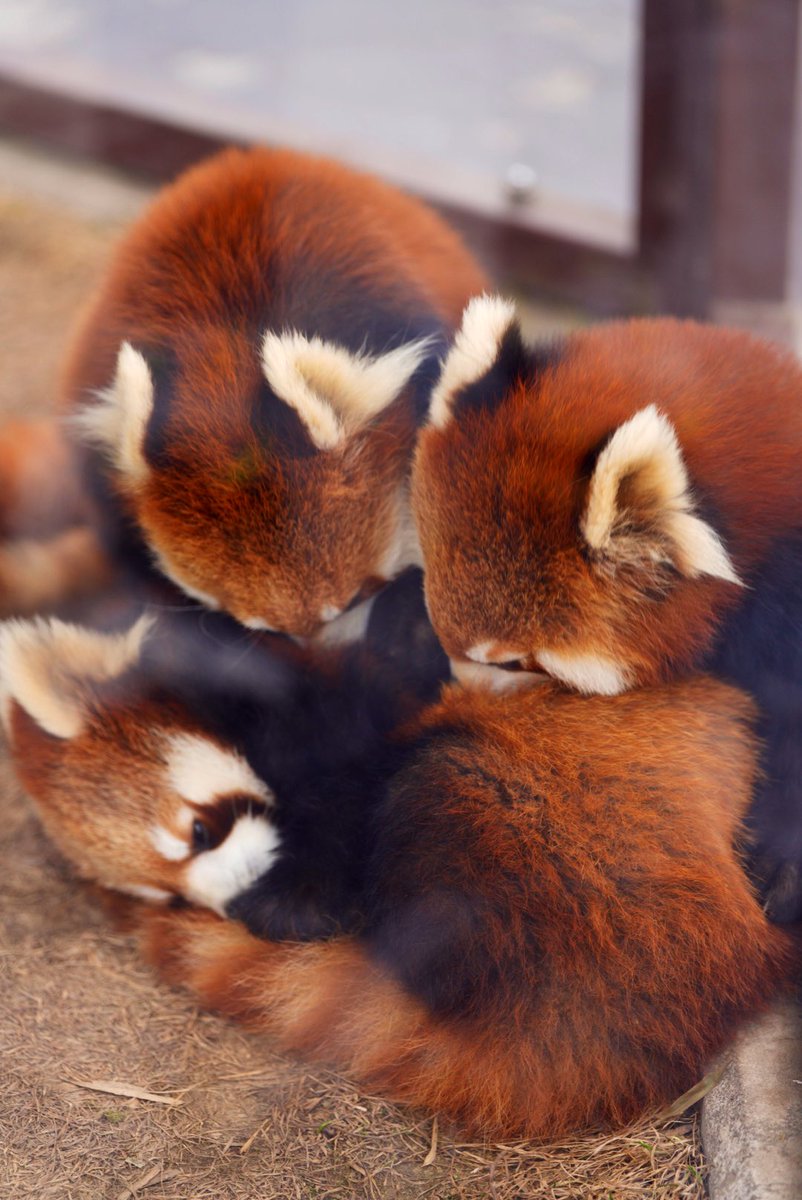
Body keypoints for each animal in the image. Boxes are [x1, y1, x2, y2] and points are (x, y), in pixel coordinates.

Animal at [0, 614, 787, 1137]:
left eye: (201, 830)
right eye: (170, 893)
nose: (240, 907)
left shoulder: (342, 706)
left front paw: (296, 904)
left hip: (544, 822)